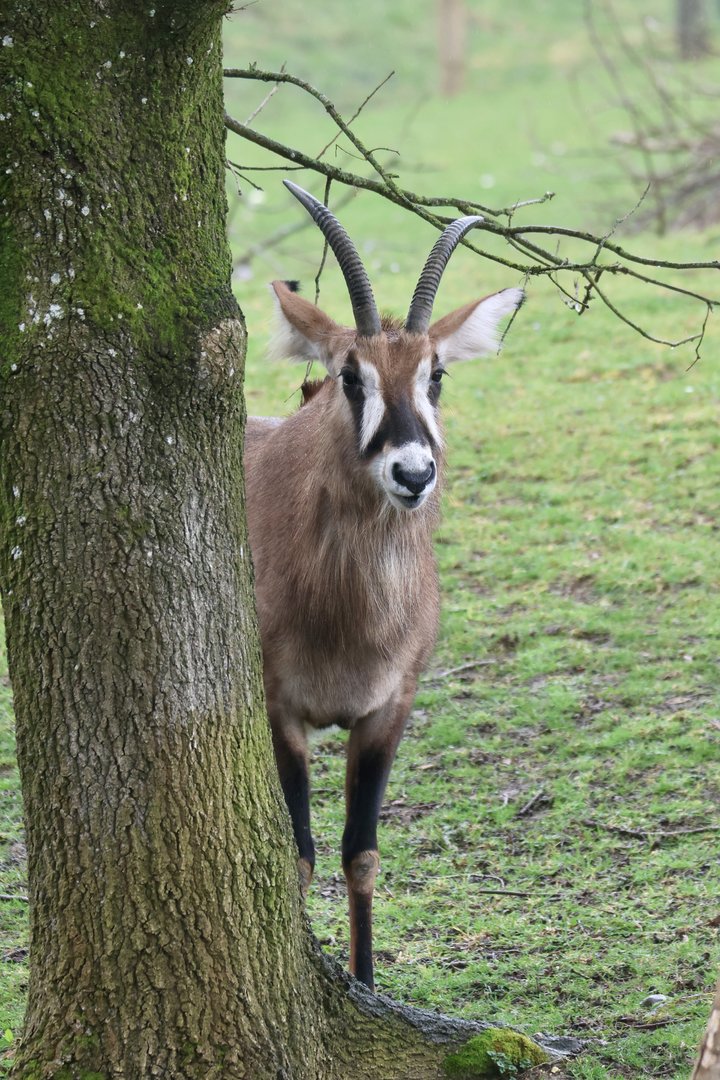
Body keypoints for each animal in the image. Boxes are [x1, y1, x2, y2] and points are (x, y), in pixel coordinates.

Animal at [244, 180, 523, 990]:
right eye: (350, 375)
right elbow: (301, 856)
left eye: (437, 374)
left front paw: (364, 984)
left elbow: (361, 854)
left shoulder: (387, 709)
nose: (412, 473)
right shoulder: (281, 711)